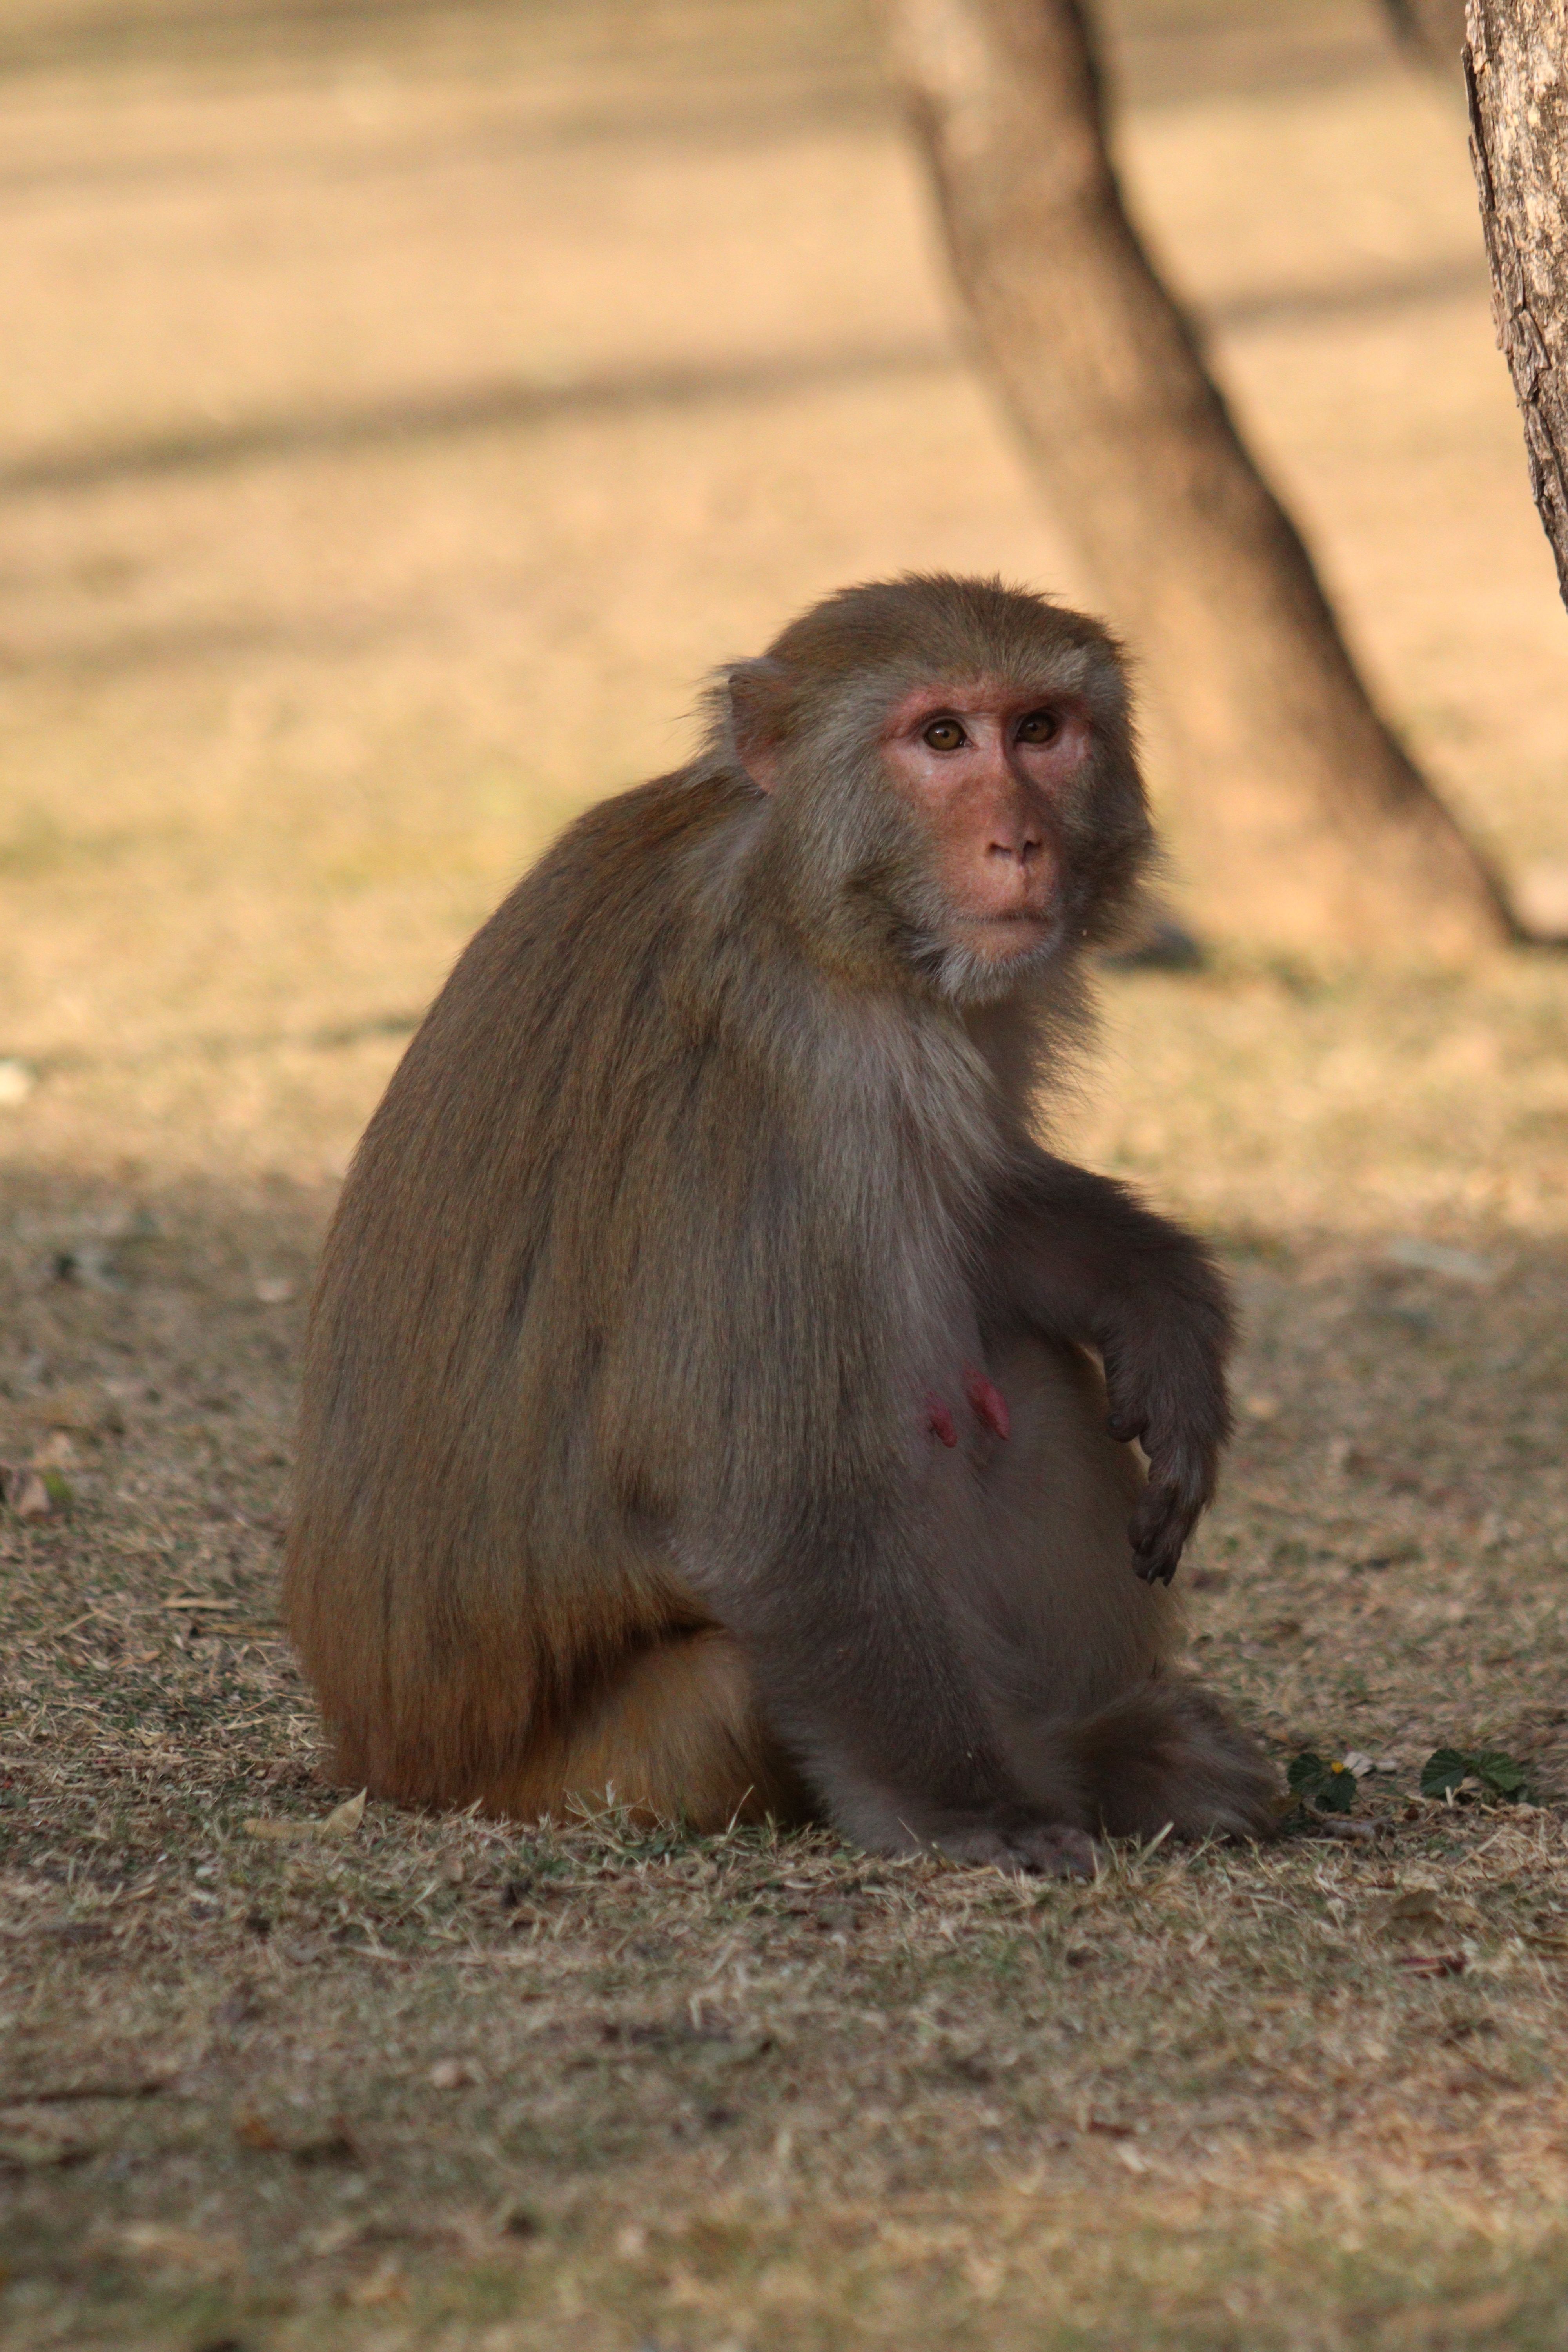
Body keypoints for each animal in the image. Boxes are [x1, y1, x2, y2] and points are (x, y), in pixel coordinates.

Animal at [284, 573, 1277, 1875]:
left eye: (1040, 730)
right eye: (942, 737)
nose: (1020, 840)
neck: (808, 903)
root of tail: (382, 1757)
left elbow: (979, 1211)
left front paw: (1158, 1305)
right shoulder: (779, 1091)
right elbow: (779, 1507)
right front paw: (983, 1812)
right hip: (618, 1755)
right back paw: (1083, 1762)